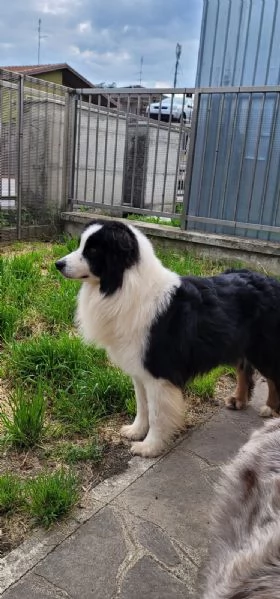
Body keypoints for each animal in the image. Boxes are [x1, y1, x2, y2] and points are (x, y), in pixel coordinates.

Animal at [55, 220, 280, 460]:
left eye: (93, 250)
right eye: (81, 245)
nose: (58, 264)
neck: (124, 286)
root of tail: (272, 281)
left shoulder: (158, 373)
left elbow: (156, 414)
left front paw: (150, 447)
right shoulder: (139, 371)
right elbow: (142, 405)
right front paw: (136, 431)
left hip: (263, 348)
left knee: (273, 376)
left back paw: (271, 408)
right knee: (243, 368)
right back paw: (239, 400)